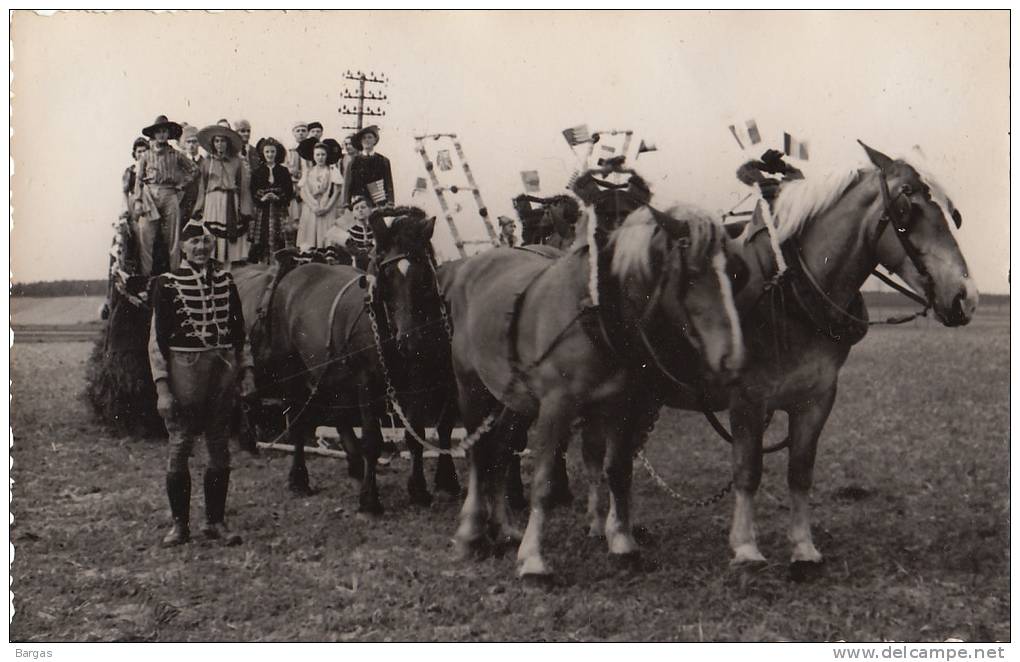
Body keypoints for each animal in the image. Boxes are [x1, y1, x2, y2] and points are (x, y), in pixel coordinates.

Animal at [231, 206, 459, 512]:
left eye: (424, 270)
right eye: (386, 273)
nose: (410, 340)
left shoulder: (419, 383)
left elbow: (416, 434)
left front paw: (420, 489)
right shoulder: (366, 385)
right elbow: (373, 439)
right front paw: (370, 499)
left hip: (329, 372)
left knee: (337, 412)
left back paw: (353, 464)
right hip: (292, 369)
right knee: (298, 421)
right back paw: (299, 477)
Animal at [448, 202, 750, 579]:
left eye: (738, 273)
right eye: (691, 274)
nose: (732, 359)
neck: (597, 312)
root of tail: (471, 265)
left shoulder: (621, 406)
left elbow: (617, 471)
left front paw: (621, 543)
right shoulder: (556, 407)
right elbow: (545, 481)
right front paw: (533, 558)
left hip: (514, 398)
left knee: (501, 448)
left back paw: (504, 528)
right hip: (470, 386)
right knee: (479, 453)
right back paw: (471, 533)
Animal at [665, 140, 975, 567]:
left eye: (952, 213)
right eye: (906, 210)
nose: (966, 297)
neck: (790, 288)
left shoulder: (817, 398)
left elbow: (800, 470)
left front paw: (803, 547)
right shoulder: (747, 399)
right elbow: (748, 470)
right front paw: (745, 546)